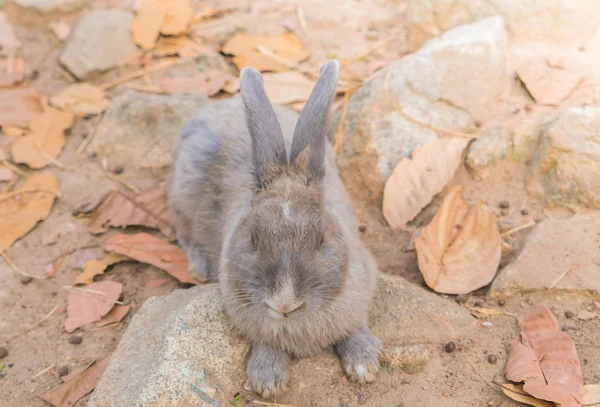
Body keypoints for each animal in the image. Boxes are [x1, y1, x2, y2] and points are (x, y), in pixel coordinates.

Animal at [166, 60, 382, 398]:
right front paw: (267, 381)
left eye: (322, 238)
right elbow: (265, 343)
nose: (284, 303)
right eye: (253, 238)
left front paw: (365, 366)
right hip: (182, 194)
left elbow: (355, 326)